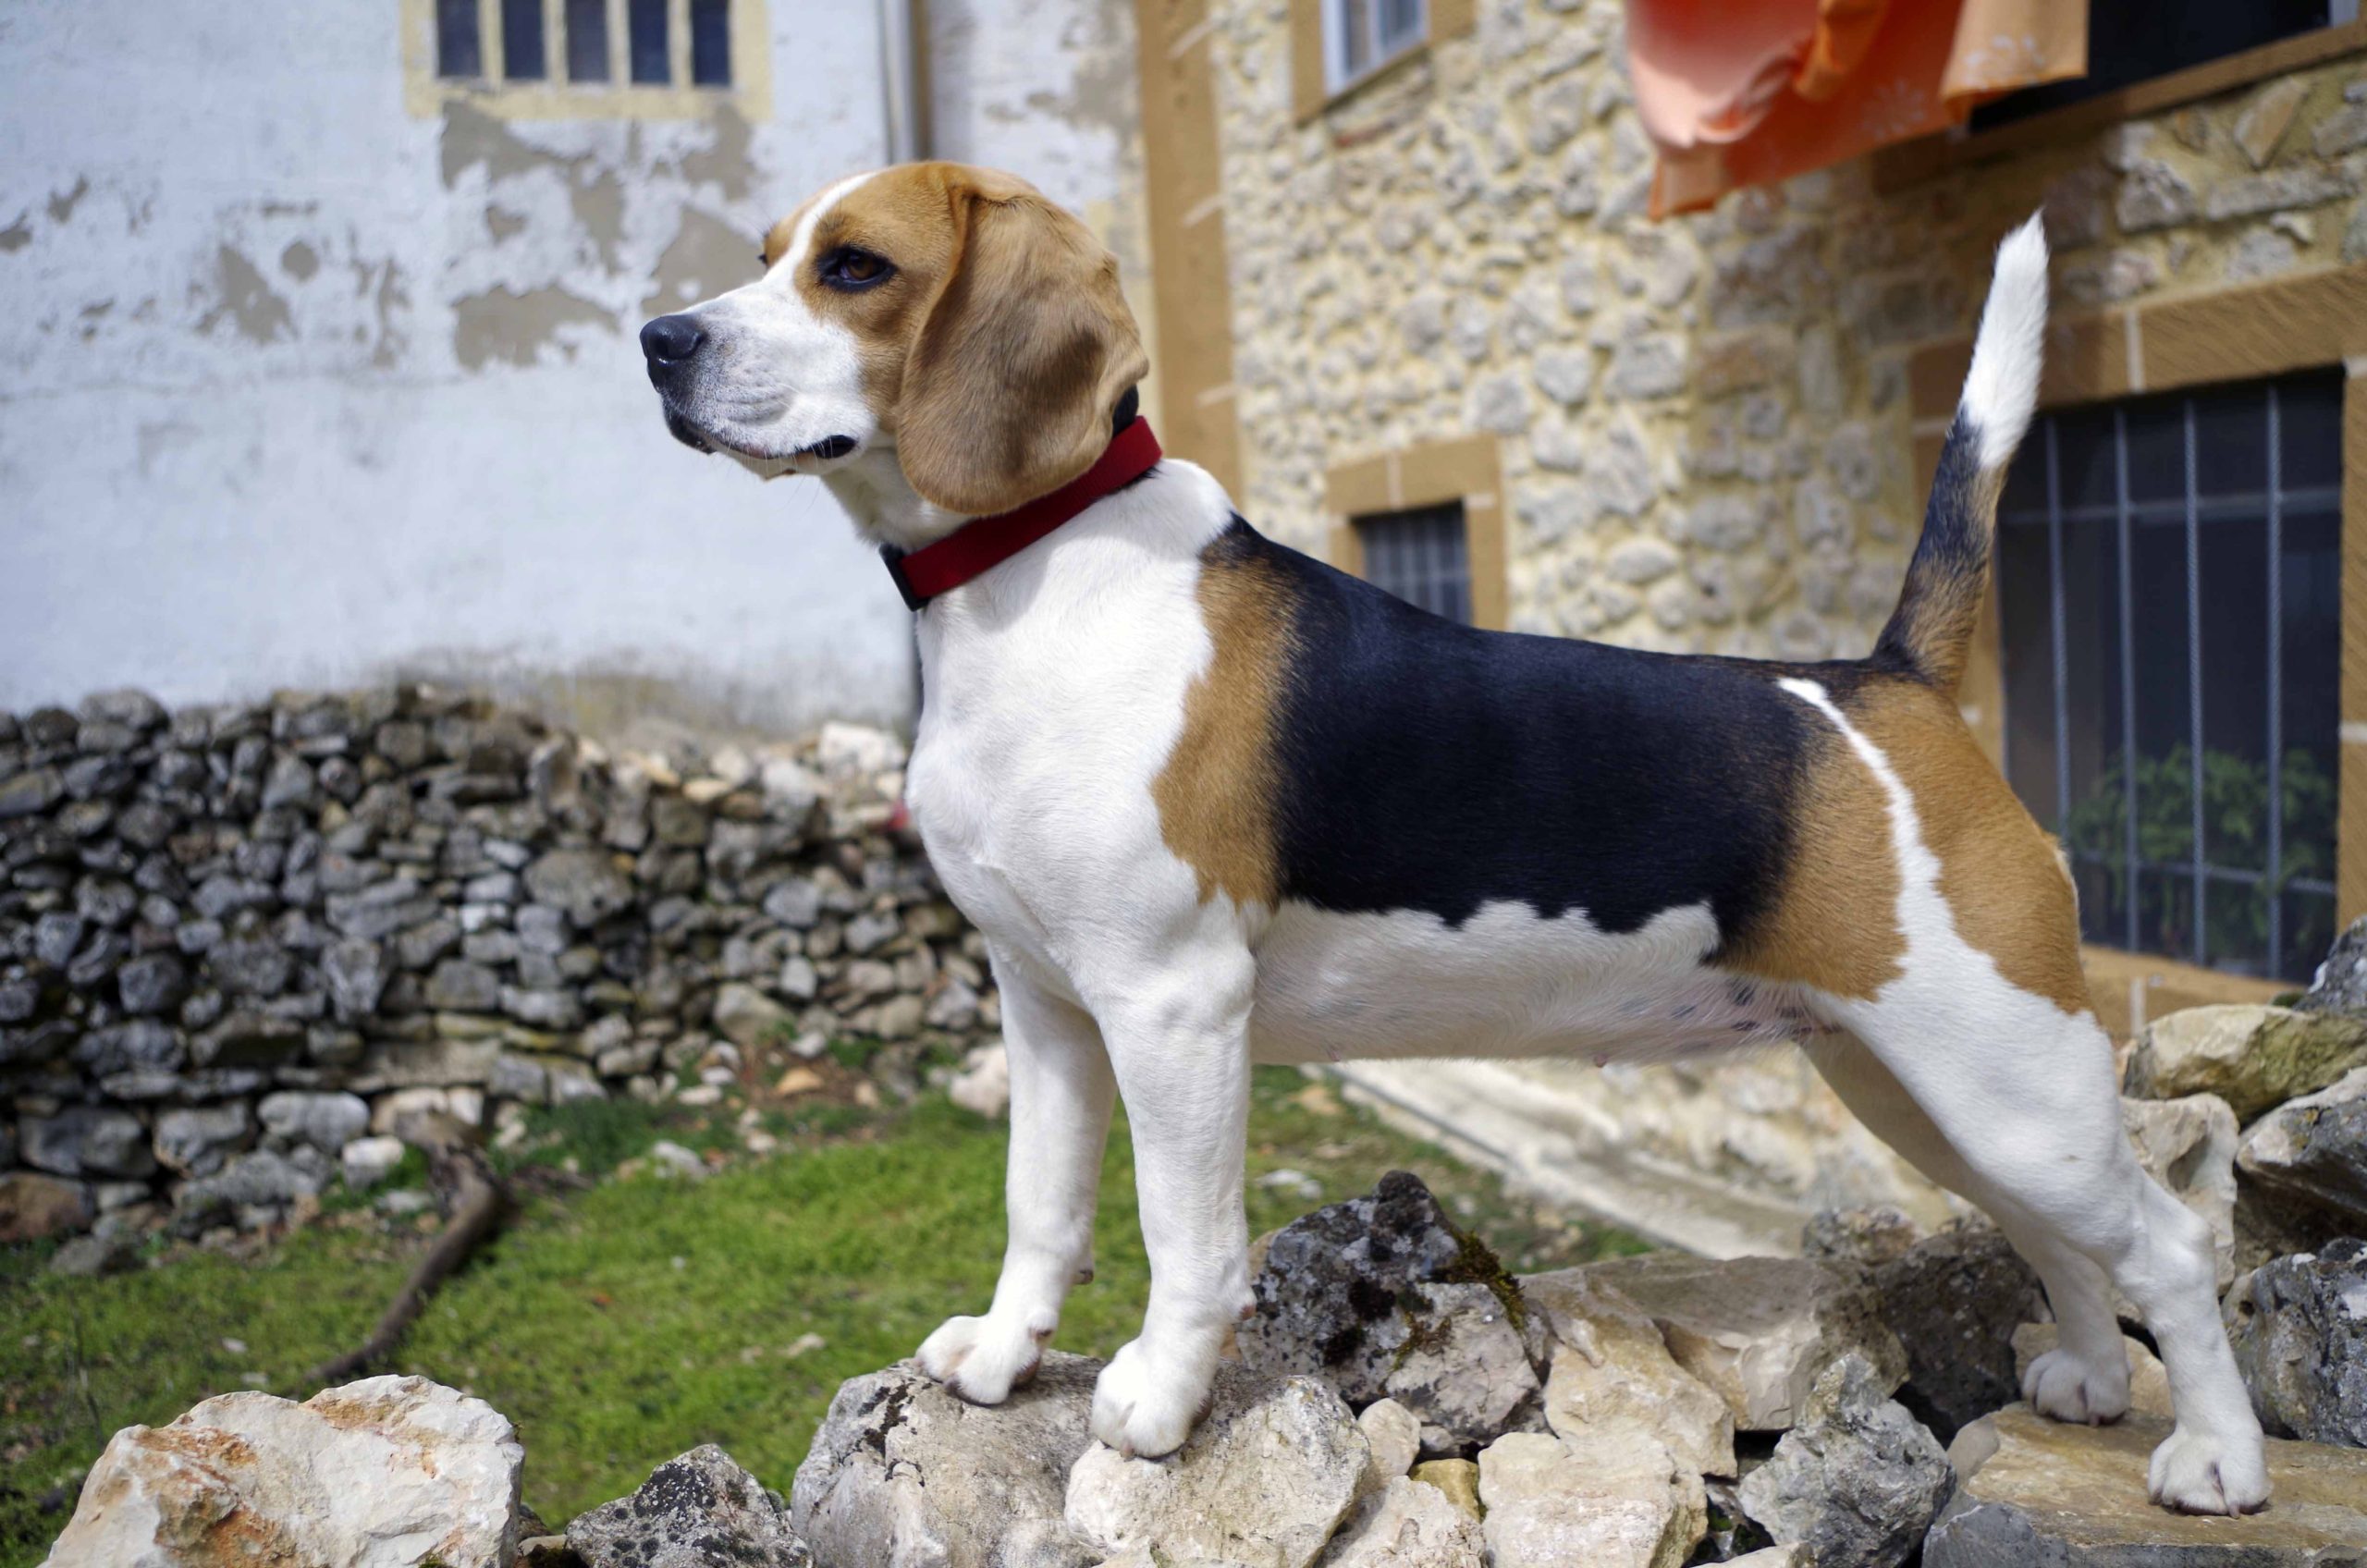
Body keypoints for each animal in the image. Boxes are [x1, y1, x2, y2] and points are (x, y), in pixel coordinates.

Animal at [644, 165, 2272, 1515]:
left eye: (855, 267)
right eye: (768, 255)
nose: (660, 340)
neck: (1032, 575)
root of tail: (1890, 683)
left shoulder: (1171, 1006)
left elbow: (1185, 1240)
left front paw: (1160, 1404)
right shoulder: (1042, 1004)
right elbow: (1040, 1206)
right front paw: (998, 1356)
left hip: (2008, 1073)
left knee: (2169, 1245)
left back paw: (2216, 1460)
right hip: (1921, 1084)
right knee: (2055, 1236)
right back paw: (2090, 1377)